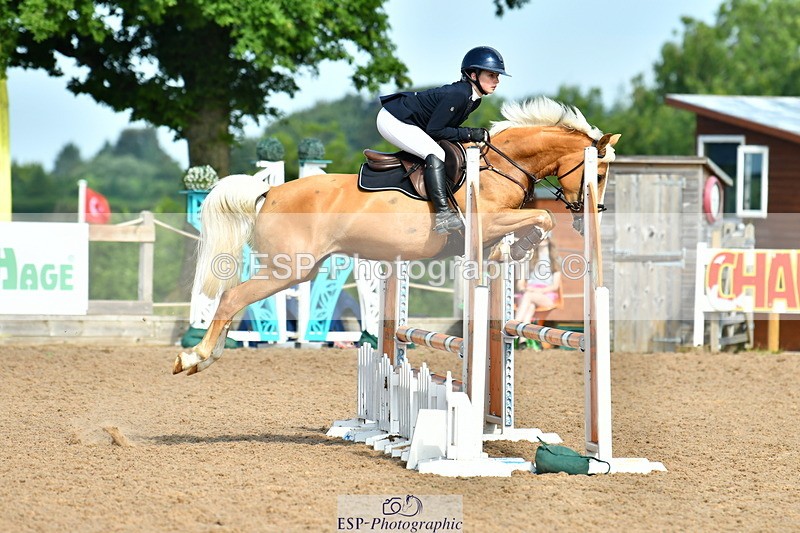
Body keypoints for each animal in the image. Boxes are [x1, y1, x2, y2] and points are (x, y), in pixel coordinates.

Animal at [173, 96, 620, 375]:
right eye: (598, 174)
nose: (589, 219)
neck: (503, 165)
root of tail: (269, 192)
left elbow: (523, 230)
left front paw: (514, 252)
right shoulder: (487, 221)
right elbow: (542, 216)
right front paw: (525, 244)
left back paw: (203, 357)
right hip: (292, 269)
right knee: (232, 298)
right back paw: (195, 357)